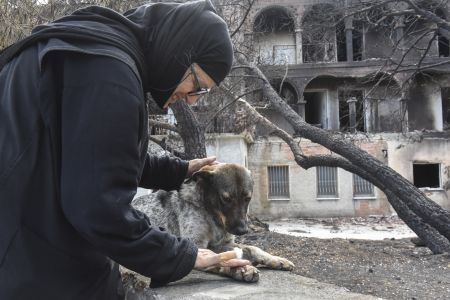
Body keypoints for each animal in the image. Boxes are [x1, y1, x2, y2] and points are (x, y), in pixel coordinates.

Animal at [132, 163, 294, 282]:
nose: (243, 230)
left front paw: (276, 259)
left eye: (247, 198)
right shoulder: (196, 245)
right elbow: (218, 259)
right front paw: (239, 269)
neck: (212, 216)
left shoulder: (223, 243)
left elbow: (252, 248)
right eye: (226, 199)